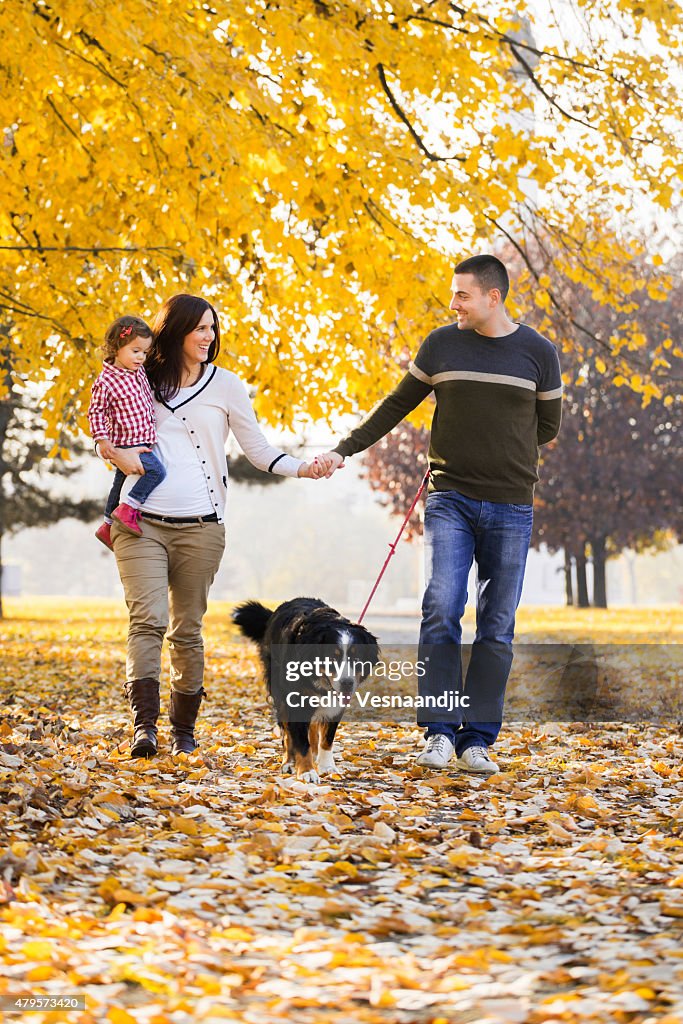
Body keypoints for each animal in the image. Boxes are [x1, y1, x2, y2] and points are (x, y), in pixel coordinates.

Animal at [231, 598, 378, 778]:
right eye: (332, 658)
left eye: (356, 659)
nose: (347, 682)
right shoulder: (296, 702)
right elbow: (300, 741)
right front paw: (307, 771)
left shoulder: (336, 707)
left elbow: (327, 739)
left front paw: (327, 766)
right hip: (280, 695)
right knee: (287, 734)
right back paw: (289, 763)